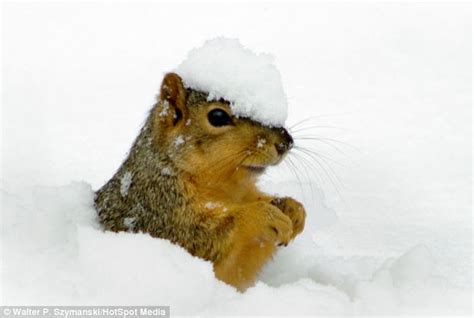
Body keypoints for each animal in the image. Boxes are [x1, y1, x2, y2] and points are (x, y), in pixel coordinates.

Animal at [94, 72, 306, 290]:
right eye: (217, 116)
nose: (286, 143)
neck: (225, 187)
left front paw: (292, 208)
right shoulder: (159, 213)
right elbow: (202, 240)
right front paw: (260, 216)